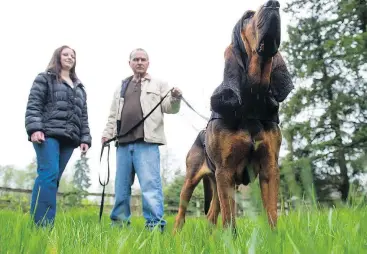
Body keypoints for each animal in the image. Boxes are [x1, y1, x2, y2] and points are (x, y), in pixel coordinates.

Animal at [174, 0, 294, 233]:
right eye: (247, 16)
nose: (274, 4)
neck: (253, 101)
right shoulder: (226, 171)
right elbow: (229, 220)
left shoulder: (269, 167)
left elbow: (272, 214)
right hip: (192, 181)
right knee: (181, 214)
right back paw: (175, 236)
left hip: (218, 183)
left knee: (211, 214)